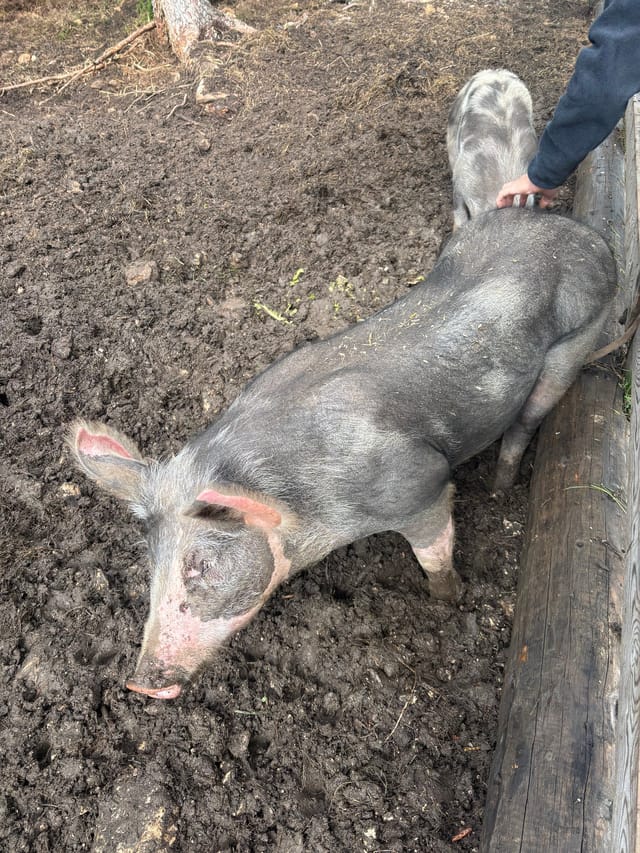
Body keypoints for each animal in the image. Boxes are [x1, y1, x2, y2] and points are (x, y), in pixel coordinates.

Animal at [70, 207, 615, 699]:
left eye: (198, 565)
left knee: (527, 420)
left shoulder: (418, 485)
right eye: (151, 563)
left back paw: (502, 488)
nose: (140, 684)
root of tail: (586, 236)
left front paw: (447, 600)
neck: (305, 509)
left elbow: (434, 553)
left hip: (577, 339)